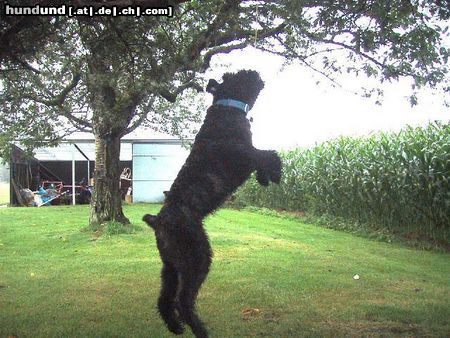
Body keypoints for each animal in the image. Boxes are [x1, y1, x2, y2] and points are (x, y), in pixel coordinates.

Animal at [142, 69, 282, 338]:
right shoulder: (245, 153)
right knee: (183, 301)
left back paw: (175, 326)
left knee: (164, 299)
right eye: (235, 75)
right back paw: (200, 329)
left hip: (171, 267)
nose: (253, 72)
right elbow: (269, 154)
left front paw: (264, 178)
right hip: (197, 259)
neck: (227, 108)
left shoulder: (249, 154)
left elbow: (265, 157)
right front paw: (275, 174)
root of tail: (158, 221)